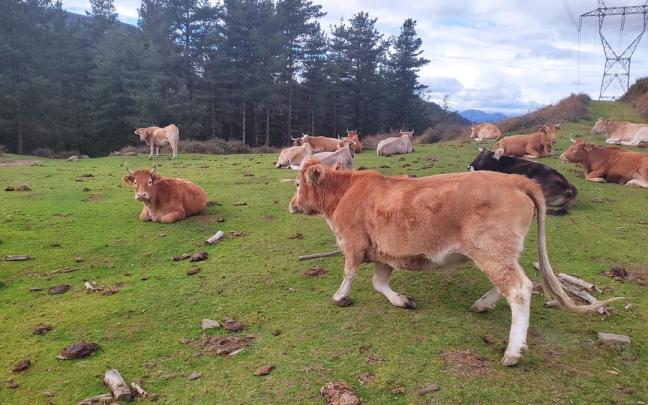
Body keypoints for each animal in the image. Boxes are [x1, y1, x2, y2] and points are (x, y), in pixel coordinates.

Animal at [288, 161, 620, 366]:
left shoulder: (353, 243)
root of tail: (515, 179)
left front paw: (339, 297)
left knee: (519, 288)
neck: (345, 194)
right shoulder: (386, 253)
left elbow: (349, 273)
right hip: (502, 251)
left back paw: (513, 351)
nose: (292, 205)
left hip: (491, 250)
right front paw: (402, 300)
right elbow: (379, 283)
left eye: (297, 183)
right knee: (520, 282)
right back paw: (483, 304)